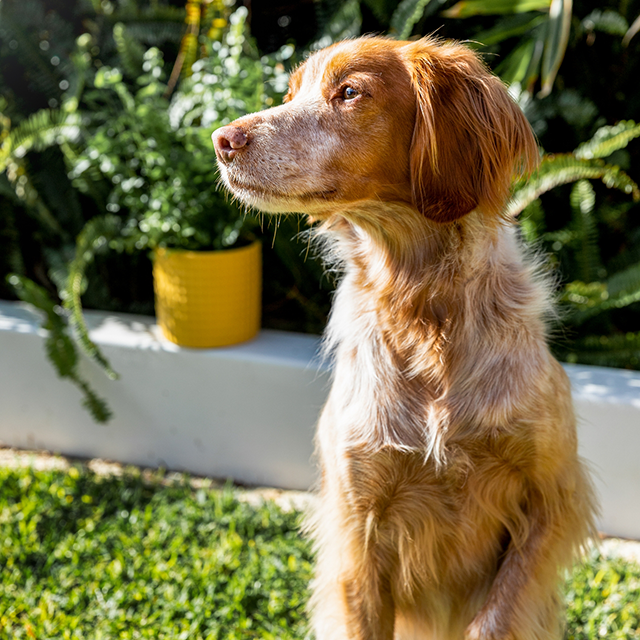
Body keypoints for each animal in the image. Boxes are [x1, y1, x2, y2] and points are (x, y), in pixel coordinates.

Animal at [212, 33, 596, 640]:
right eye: (291, 94)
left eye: (349, 92)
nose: (222, 140)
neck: (423, 309)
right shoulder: (357, 528)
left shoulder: (552, 499)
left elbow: (495, 618)